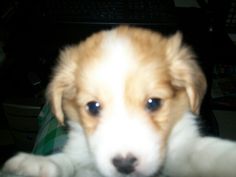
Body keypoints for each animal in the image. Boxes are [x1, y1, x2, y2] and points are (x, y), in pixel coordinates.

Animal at [1, 26, 236, 177]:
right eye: (93, 107)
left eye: (154, 103)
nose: (125, 165)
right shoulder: (81, 158)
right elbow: (67, 162)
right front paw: (38, 163)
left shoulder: (182, 151)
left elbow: (206, 153)